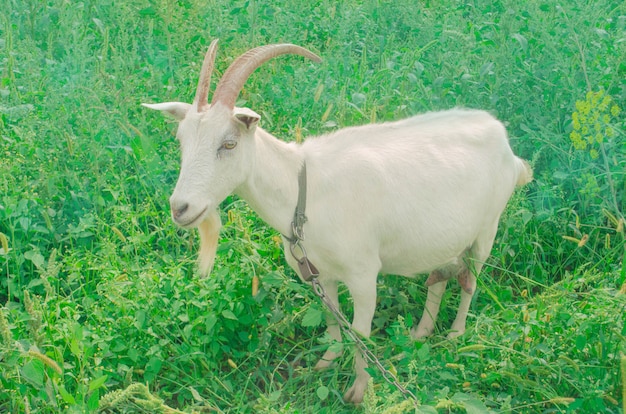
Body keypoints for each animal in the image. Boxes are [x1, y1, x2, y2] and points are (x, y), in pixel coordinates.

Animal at [143, 40, 532, 402]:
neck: (302, 192)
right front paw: (322, 366)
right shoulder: (317, 272)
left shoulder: (363, 274)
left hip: (487, 229)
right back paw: (421, 333)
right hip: (445, 237)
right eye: (181, 140)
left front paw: (358, 392)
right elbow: (331, 323)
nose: (180, 207)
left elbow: (359, 335)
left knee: (470, 282)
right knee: (439, 276)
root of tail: (504, 142)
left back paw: (455, 335)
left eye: (229, 143)